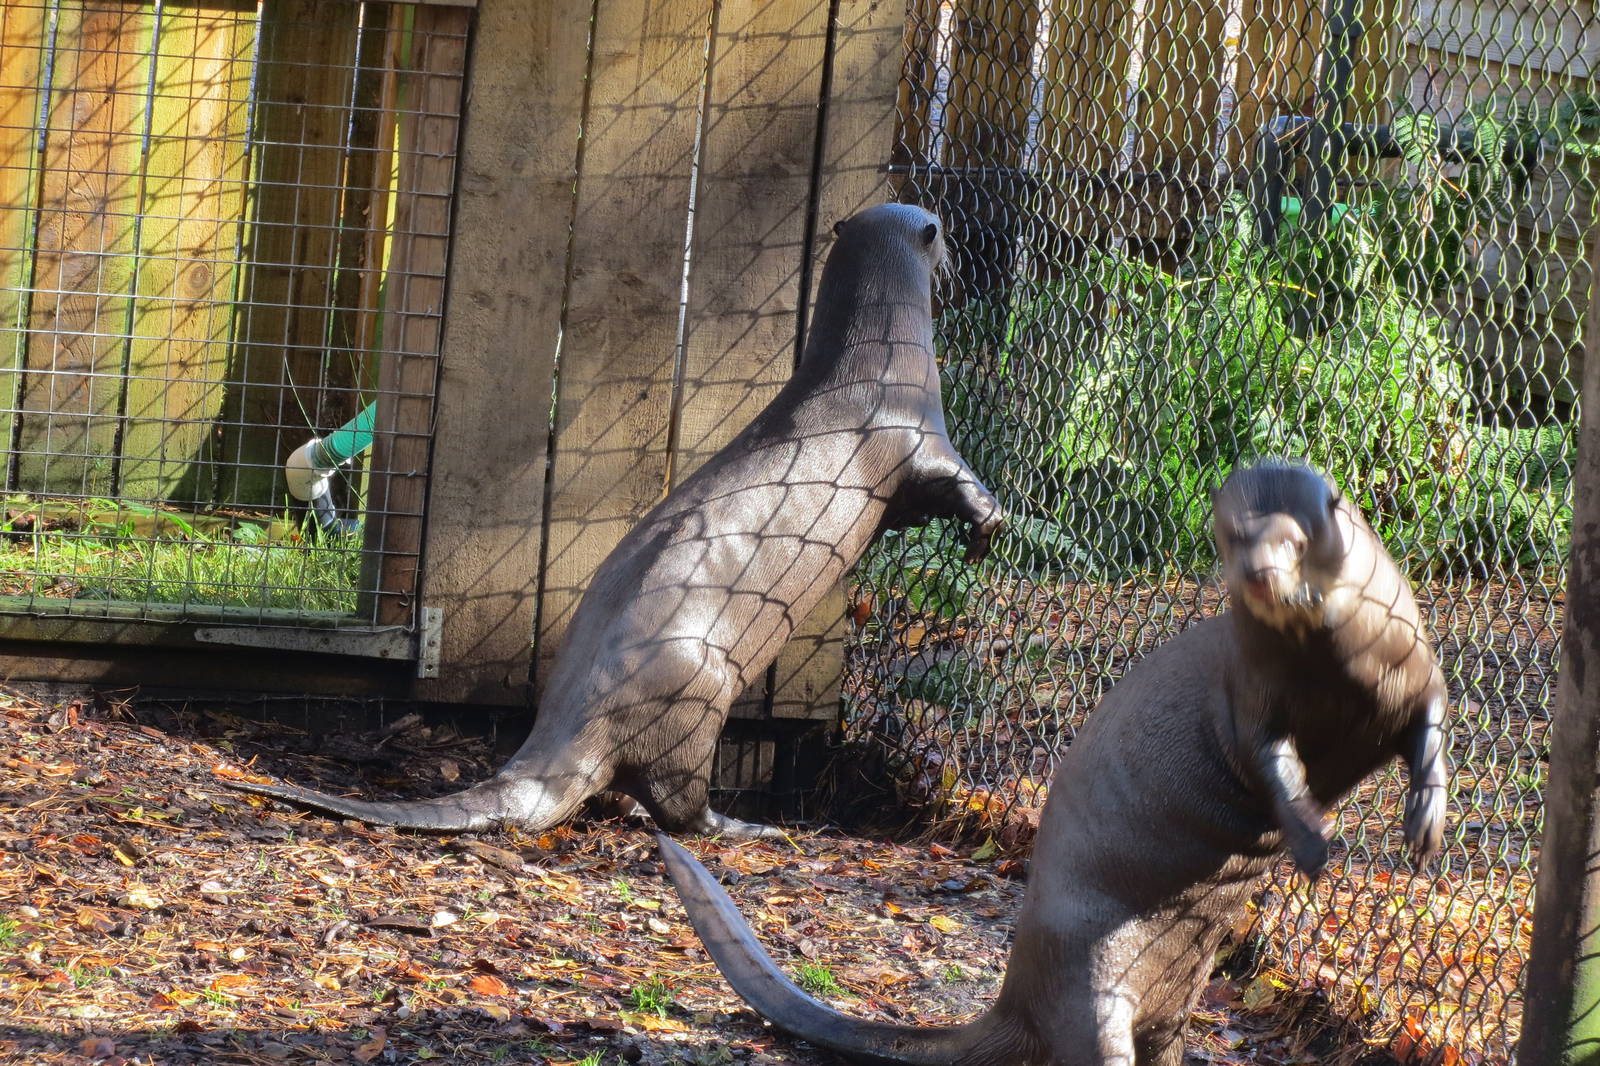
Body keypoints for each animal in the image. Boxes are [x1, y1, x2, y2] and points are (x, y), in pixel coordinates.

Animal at [227, 203, 1004, 839]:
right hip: (697, 687)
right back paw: (747, 826)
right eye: (943, 231)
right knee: (678, 800)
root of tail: (568, 730)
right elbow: (956, 485)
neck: (873, 362)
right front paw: (985, 531)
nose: (959, 251)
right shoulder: (915, 437)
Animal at [656, 459, 1449, 1064]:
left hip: (1178, 998)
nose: (1257, 574)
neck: (1345, 675)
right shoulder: (1251, 692)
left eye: (1295, 538)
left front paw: (1426, 823)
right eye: (1229, 536)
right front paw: (1313, 841)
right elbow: (1270, 762)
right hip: (1089, 980)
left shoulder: (1417, 668)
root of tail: (1015, 999)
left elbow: (1431, 728)